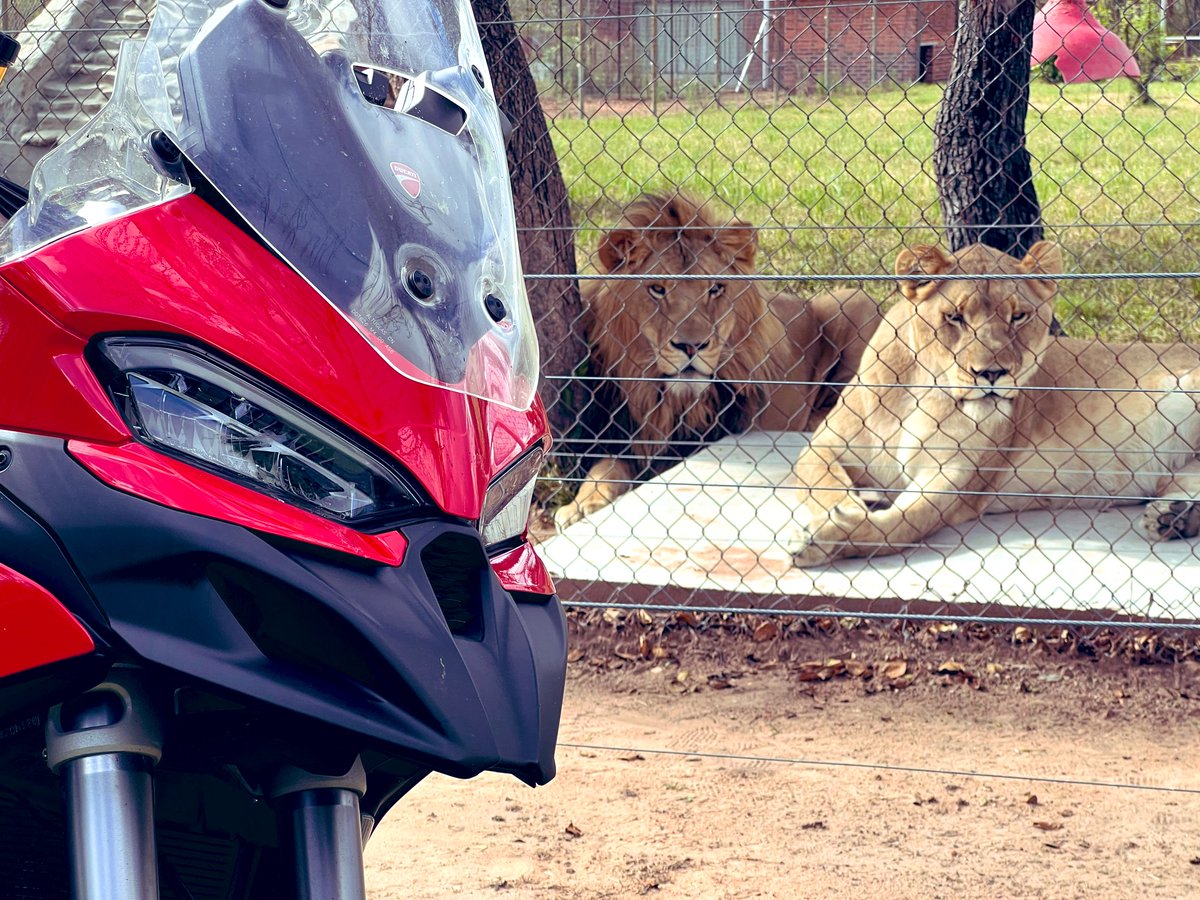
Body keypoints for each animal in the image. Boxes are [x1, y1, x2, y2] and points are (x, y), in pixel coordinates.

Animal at [554, 193, 882, 530]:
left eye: (714, 288)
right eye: (657, 289)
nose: (692, 345)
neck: (672, 402)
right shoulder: (628, 439)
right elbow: (604, 469)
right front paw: (581, 505)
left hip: (855, 300)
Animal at [789, 240, 1200, 567]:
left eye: (1018, 316)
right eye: (955, 317)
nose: (991, 373)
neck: (925, 394)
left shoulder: (958, 478)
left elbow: (905, 524)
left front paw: (824, 537)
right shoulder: (823, 445)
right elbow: (824, 485)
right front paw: (844, 510)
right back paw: (1175, 517)